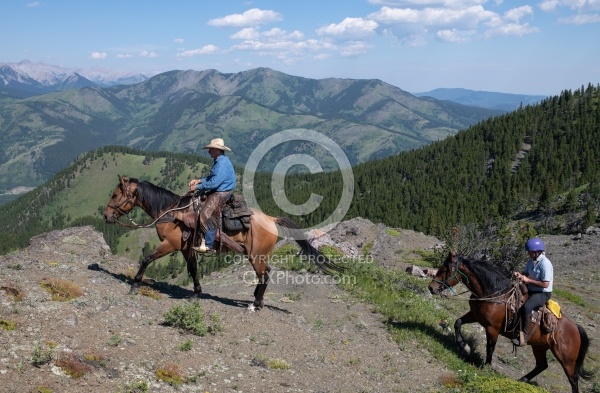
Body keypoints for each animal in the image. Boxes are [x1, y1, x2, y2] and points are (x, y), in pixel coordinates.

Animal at [103, 175, 342, 310]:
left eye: (115, 195)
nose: (106, 216)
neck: (170, 213)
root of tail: (272, 219)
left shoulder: (171, 244)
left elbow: (146, 259)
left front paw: (134, 285)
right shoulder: (186, 248)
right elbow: (193, 270)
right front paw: (195, 294)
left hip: (256, 256)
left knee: (264, 275)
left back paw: (255, 305)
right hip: (256, 255)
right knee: (265, 273)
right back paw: (256, 299)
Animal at [428, 251, 592, 392]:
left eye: (445, 269)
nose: (431, 287)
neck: (493, 294)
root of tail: (575, 327)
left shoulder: (492, 328)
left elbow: (490, 347)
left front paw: (486, 366)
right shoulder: (474, 316)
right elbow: (457, 323)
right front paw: (465, 347)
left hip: (566, 359)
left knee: (573, 379)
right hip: (539, 347)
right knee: (542, 365)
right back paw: (522, 380)